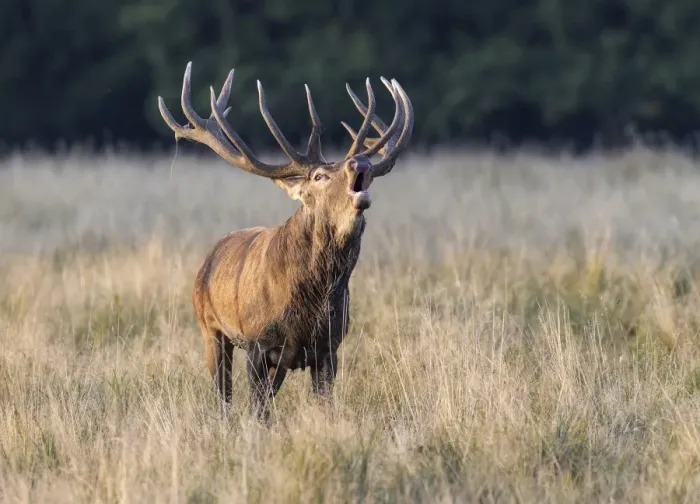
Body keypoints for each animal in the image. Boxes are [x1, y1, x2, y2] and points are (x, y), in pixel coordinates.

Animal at [157, 62, 414, 423]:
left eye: (368, 171)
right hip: (209, 326)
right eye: (319, 176)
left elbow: (322, 406)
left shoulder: (328, 347)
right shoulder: (257, 341)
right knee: (223, 395)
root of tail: (210, 256)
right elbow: (257, 411)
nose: (360, 162)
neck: (310, 301)